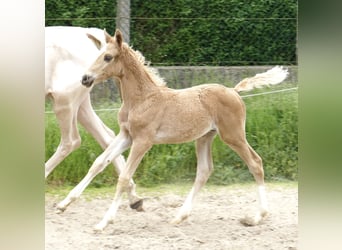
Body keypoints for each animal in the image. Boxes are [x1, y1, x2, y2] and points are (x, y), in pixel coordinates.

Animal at [57, 28, 288, 230]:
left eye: (107, 57)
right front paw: (63, 204)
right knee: (204, 170)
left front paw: (103, 223)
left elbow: (123, 178)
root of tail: (233, 91)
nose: (85, 79)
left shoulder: (143, 141)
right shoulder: (126, 136)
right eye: (97, 55)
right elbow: (98, 163)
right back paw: (179, 216)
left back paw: (257, 217)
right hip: (205, 137)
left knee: (255, 163)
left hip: (233, 135)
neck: (141, 99)